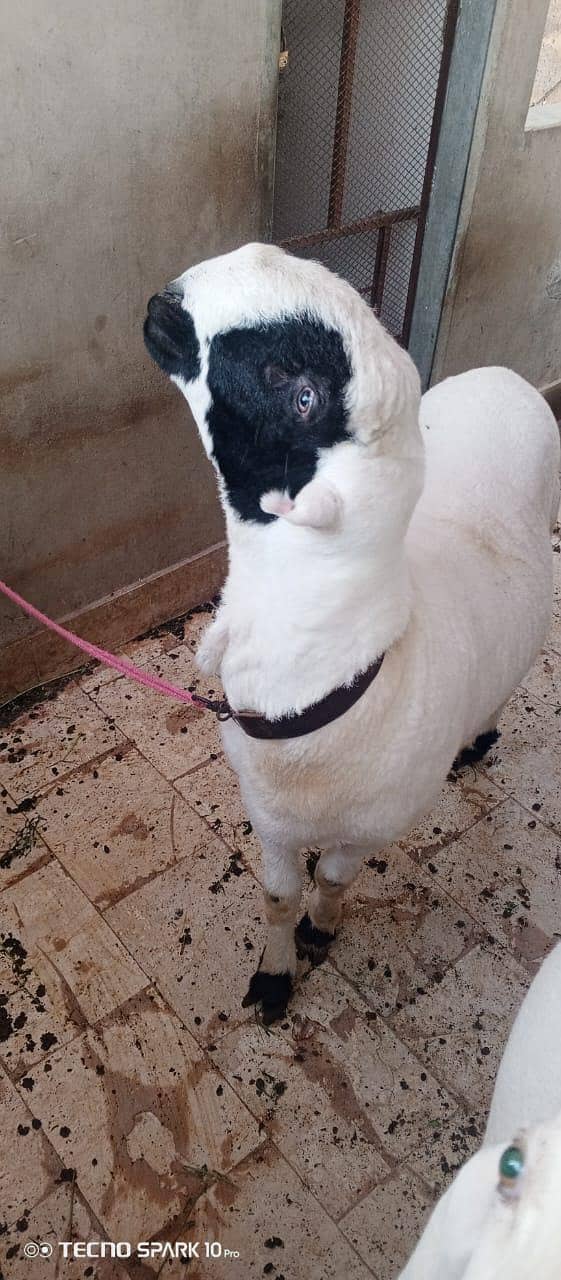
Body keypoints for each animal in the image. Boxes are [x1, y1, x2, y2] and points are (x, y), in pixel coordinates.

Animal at [144, 241, 560, 1023]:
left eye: (297, 391)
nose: (166, 299)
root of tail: (507, 378)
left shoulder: (371, 829)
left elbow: (333, 882)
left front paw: (319, 931)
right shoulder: (269, 816)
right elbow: (277, 896)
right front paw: (275, 972)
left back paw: (479, 739)